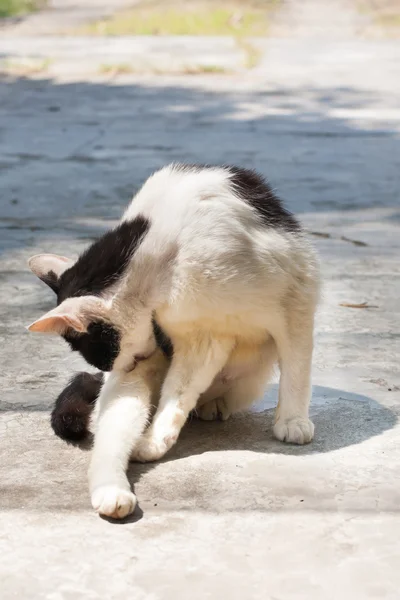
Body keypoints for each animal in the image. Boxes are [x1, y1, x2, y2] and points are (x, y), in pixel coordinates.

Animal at [28, 162, 320, 516]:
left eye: (103, 353)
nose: (119, 368)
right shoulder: (197, 333)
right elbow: (177, 394)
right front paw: (155, 439)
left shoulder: (295, 296)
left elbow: (296, 366)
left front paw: (292, 419)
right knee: (113, 430)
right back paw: (113, 489)